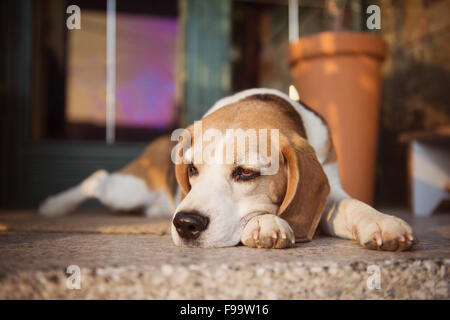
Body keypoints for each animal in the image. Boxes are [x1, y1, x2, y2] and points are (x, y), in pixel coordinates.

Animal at [38, 89, 418, 251]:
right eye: (192, 168)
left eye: (246, 173)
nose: (185, 224)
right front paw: (265, 223)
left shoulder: (330, 187)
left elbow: (352, 205)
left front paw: (380, 222)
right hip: (127, 189)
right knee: (97, 179)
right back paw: (54, 206)